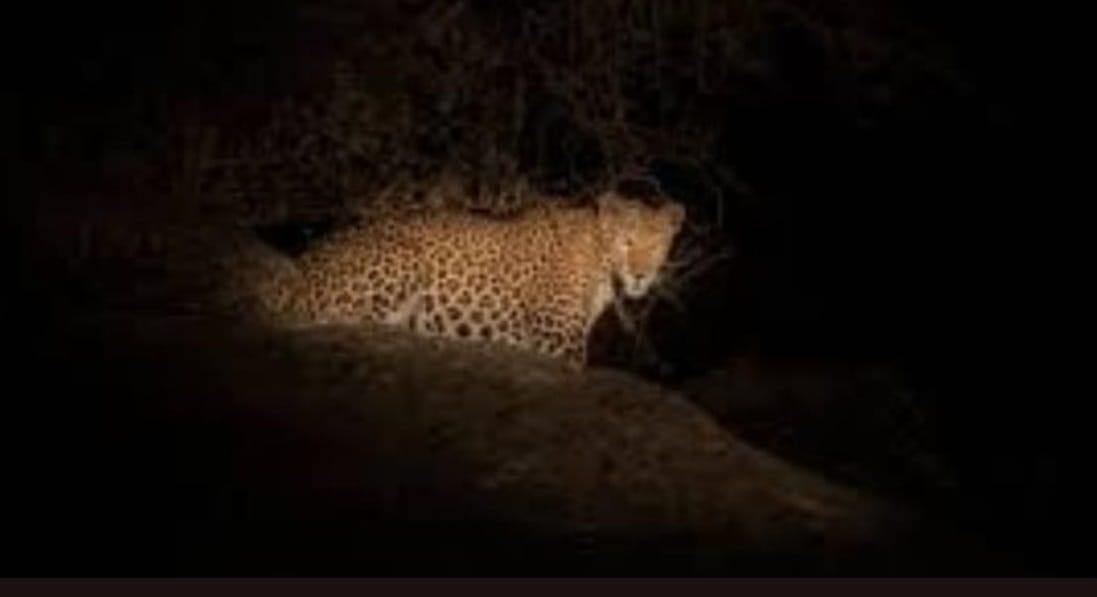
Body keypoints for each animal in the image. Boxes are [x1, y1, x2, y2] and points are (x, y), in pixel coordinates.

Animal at [252, 193, 686, 368]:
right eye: (627, 241)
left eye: (658, 244)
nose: (641, 274)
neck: (600, 255)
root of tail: (300, 268)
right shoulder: (557, 339)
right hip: (404, 259)